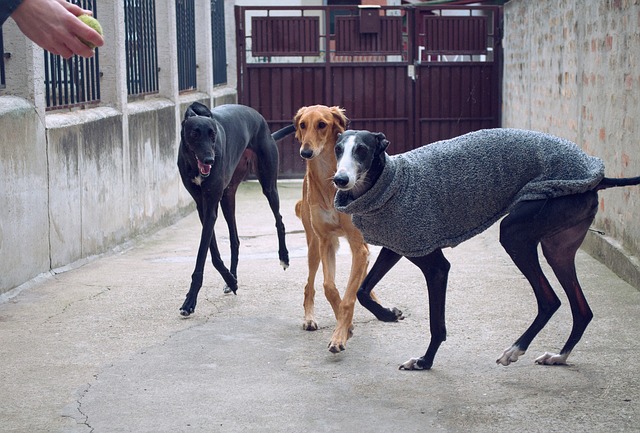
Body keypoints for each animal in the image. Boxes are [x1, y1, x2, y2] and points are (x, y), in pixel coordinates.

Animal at [176, 102, 294, 316]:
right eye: (195, 133)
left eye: (213, 134)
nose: (210, 160)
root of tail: (260, 119)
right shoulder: (203, 207)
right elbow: (212, 253)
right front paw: (231, 280)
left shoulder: (210, 206)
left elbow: (202, 254)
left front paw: (190, 301)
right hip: (227, 197)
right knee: (235, 240)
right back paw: (232, 278)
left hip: (268, 185)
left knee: (279, 220)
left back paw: (284, 257)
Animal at [296, 106, 376, 352]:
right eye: (302, 125)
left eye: (322, 124)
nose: (306, 152)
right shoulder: (325, 241)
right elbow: (329, 287)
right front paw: (345, 329)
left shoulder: (358, 244)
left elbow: (350, 296)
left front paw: (340, 334)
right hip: (312, 247)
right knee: (309, 285)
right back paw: (309, 319)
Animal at [332, 127, 640, 368]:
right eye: (338, 149)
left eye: (362, 150)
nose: (340, 180)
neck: (391, 183)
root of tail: (598, 176)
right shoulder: (399, 247)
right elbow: (362, 291)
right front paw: (387, 315)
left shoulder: (436, 266)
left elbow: (436, 324)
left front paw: (424, 362)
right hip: (558, 249)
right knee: (582, 310)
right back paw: (558, 357)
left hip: (515, 234)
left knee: (550, 300)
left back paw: (514, 351)